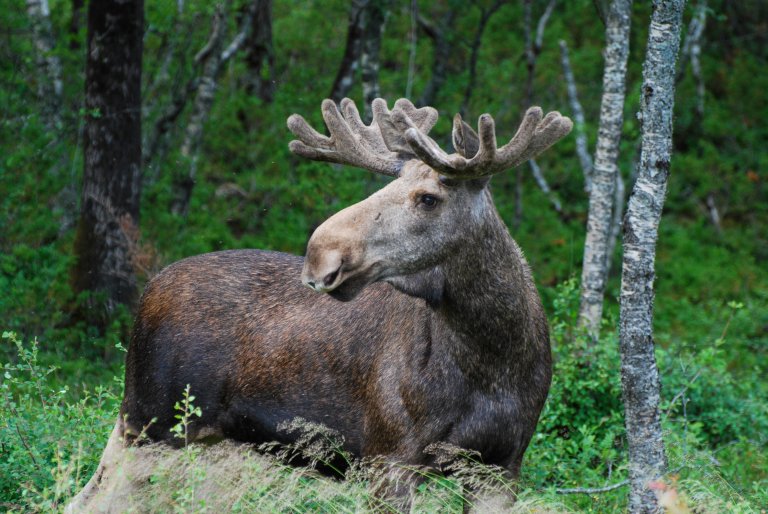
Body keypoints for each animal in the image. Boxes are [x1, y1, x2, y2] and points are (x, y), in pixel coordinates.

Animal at [69, 96, 568, 508]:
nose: (321, 253)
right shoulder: (388, 458)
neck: (491, 356)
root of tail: (148, 291)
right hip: (151, 423)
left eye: (428, 198)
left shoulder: (501, 468)